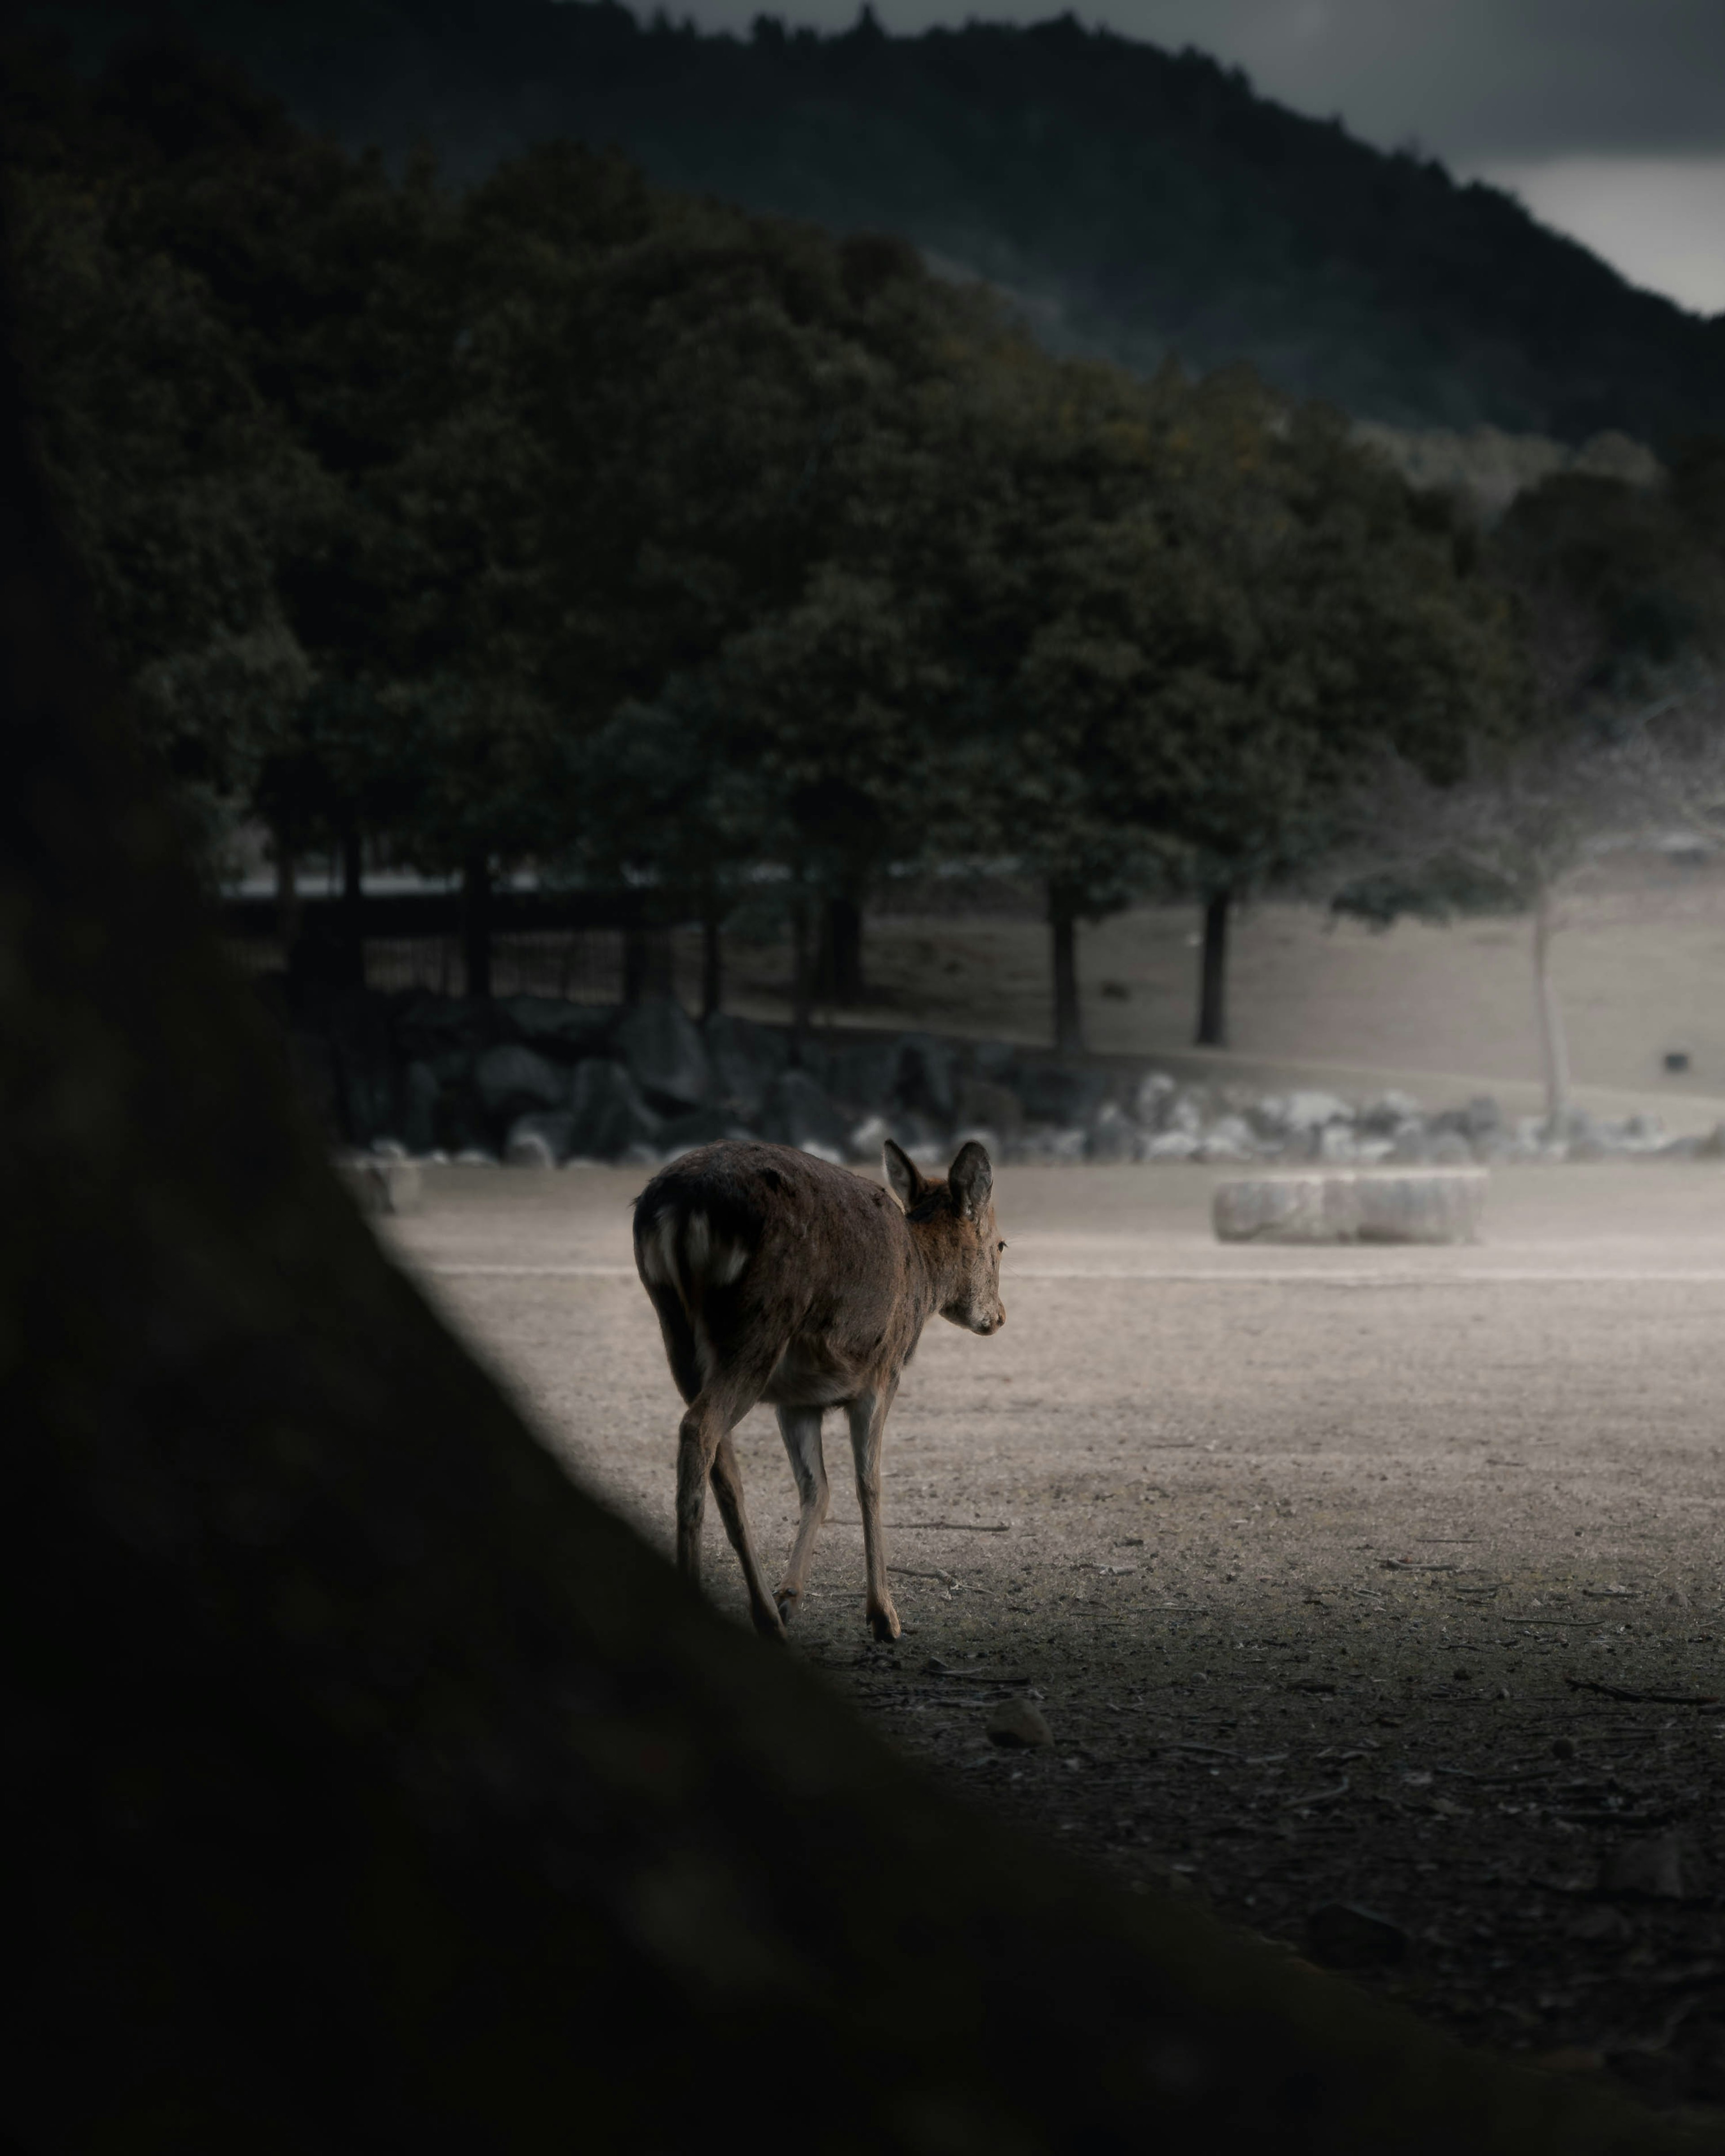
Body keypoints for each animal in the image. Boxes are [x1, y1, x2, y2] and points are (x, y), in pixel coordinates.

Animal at [634, 1138, 1004, 1639]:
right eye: (1001, 1243)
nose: (999, 1317)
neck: (923, 1278)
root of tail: (681, 1208)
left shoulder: (797, 1402)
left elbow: (817, 1487)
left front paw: (789, 1596)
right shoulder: (882, 1374)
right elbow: (869, 1482)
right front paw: (884, 1616)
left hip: (676, 1331)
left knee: (723, 1463)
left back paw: (768, 1617)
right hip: (761, 1321)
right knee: (699, 1429)